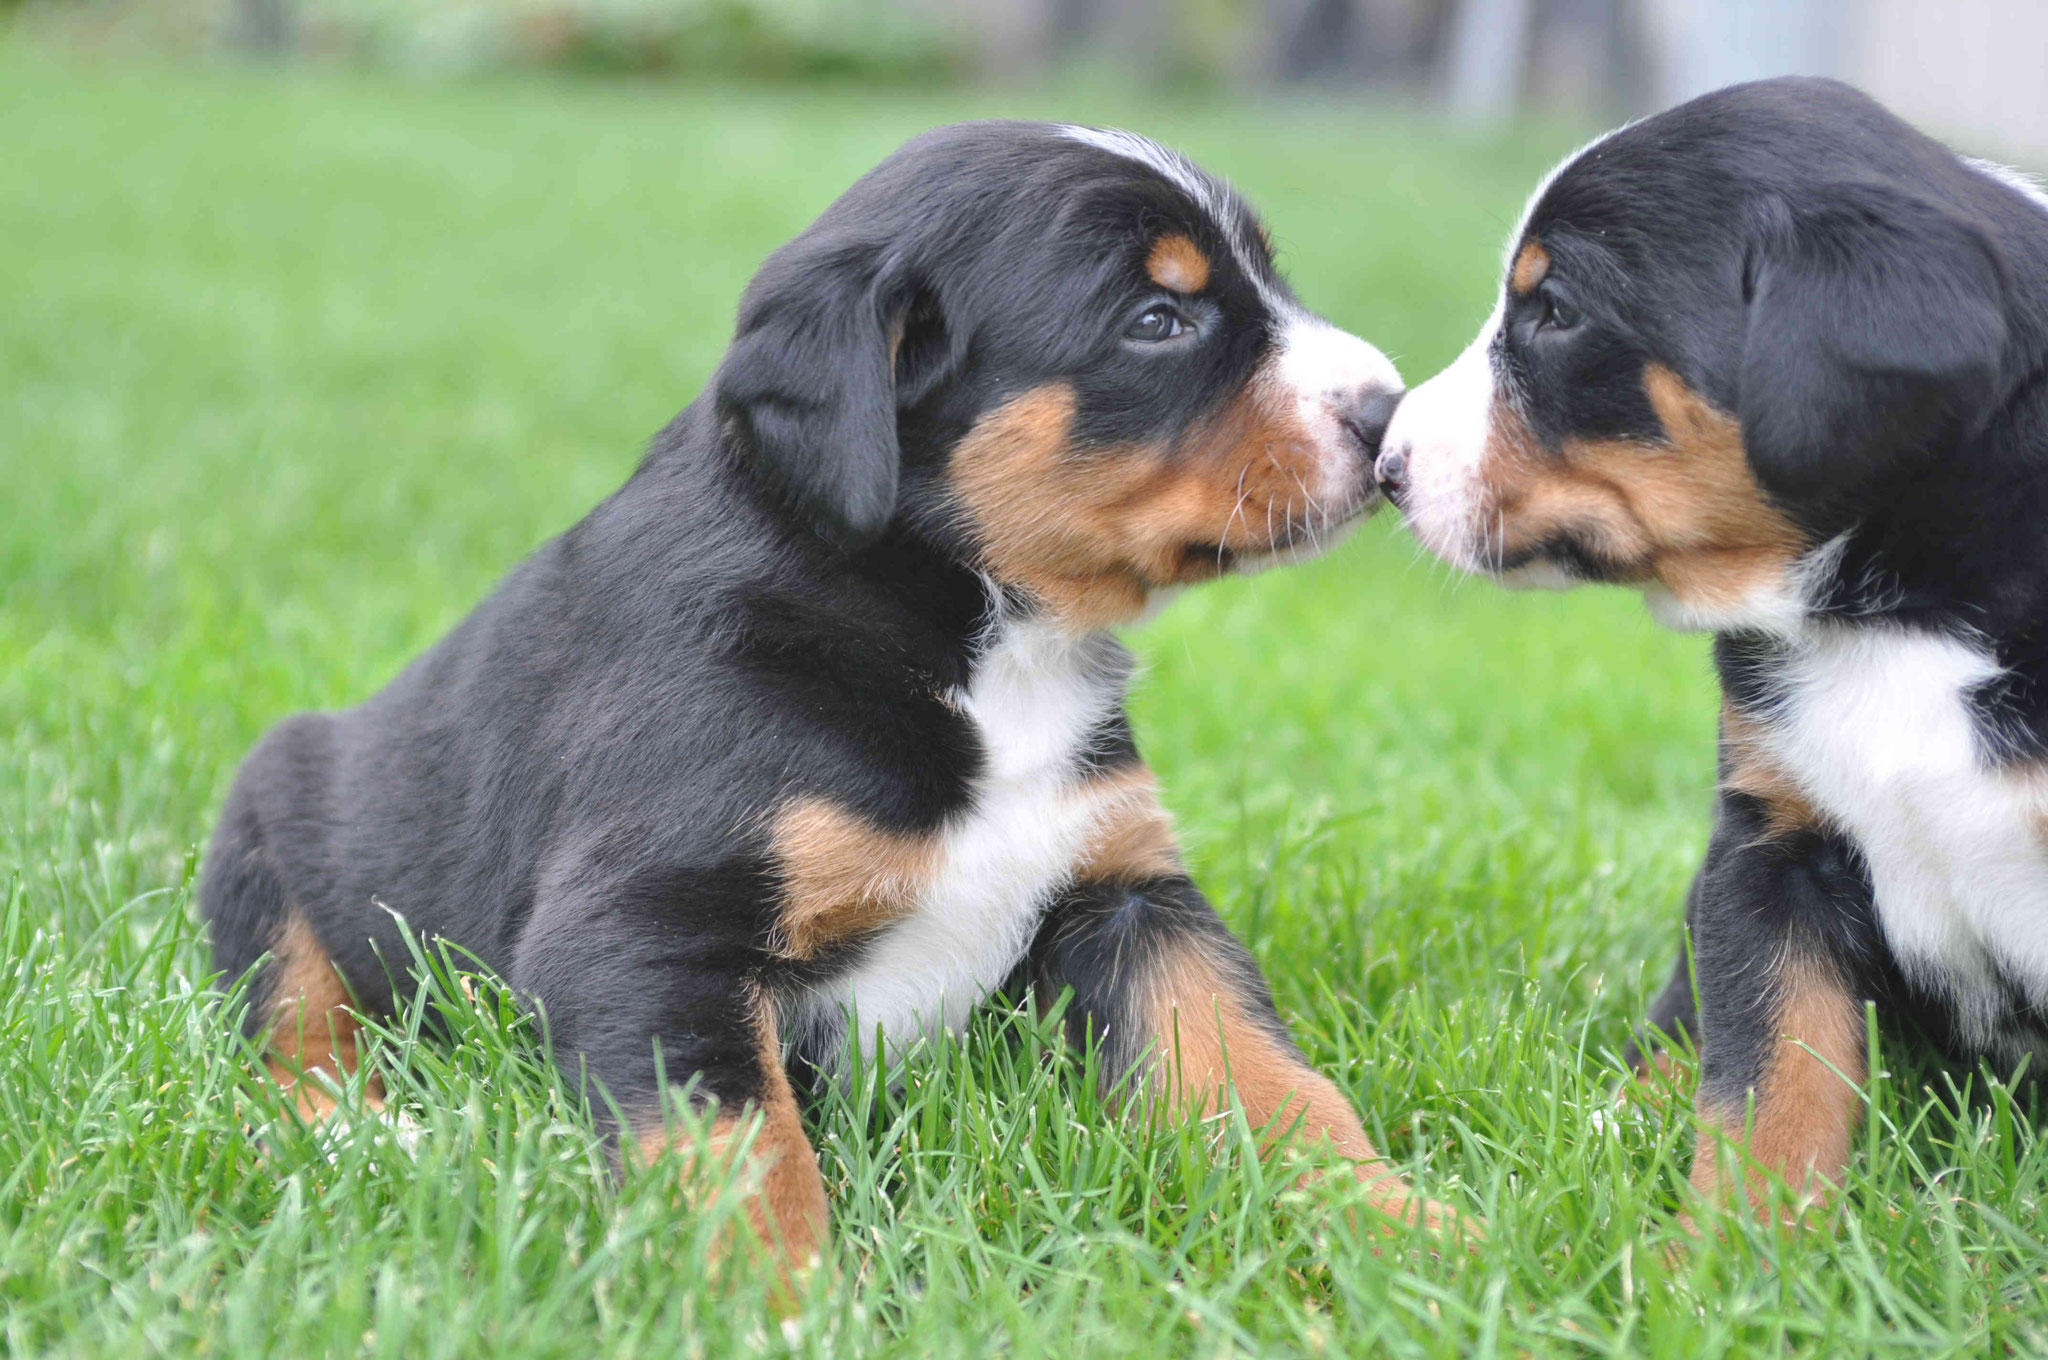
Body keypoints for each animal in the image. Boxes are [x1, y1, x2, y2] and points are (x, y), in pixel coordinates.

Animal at [199, 119, 1449, 1278]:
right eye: (1157, 318)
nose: (1390, 417)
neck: (982, 638)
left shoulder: (1125, 890)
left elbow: (1257, 1070)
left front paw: (1407, 1231)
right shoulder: (645, 930)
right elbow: (741, 1148)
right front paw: (784, 1303)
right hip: (276, 820)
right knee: (286, 1044)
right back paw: (375, 1136)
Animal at [1368, 74, 2048, 1220]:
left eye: (1556, 310)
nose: (1384, 460)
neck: (1897, 617)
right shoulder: (1770, 846)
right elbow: (1767, 1079)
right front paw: (1735, 1248)